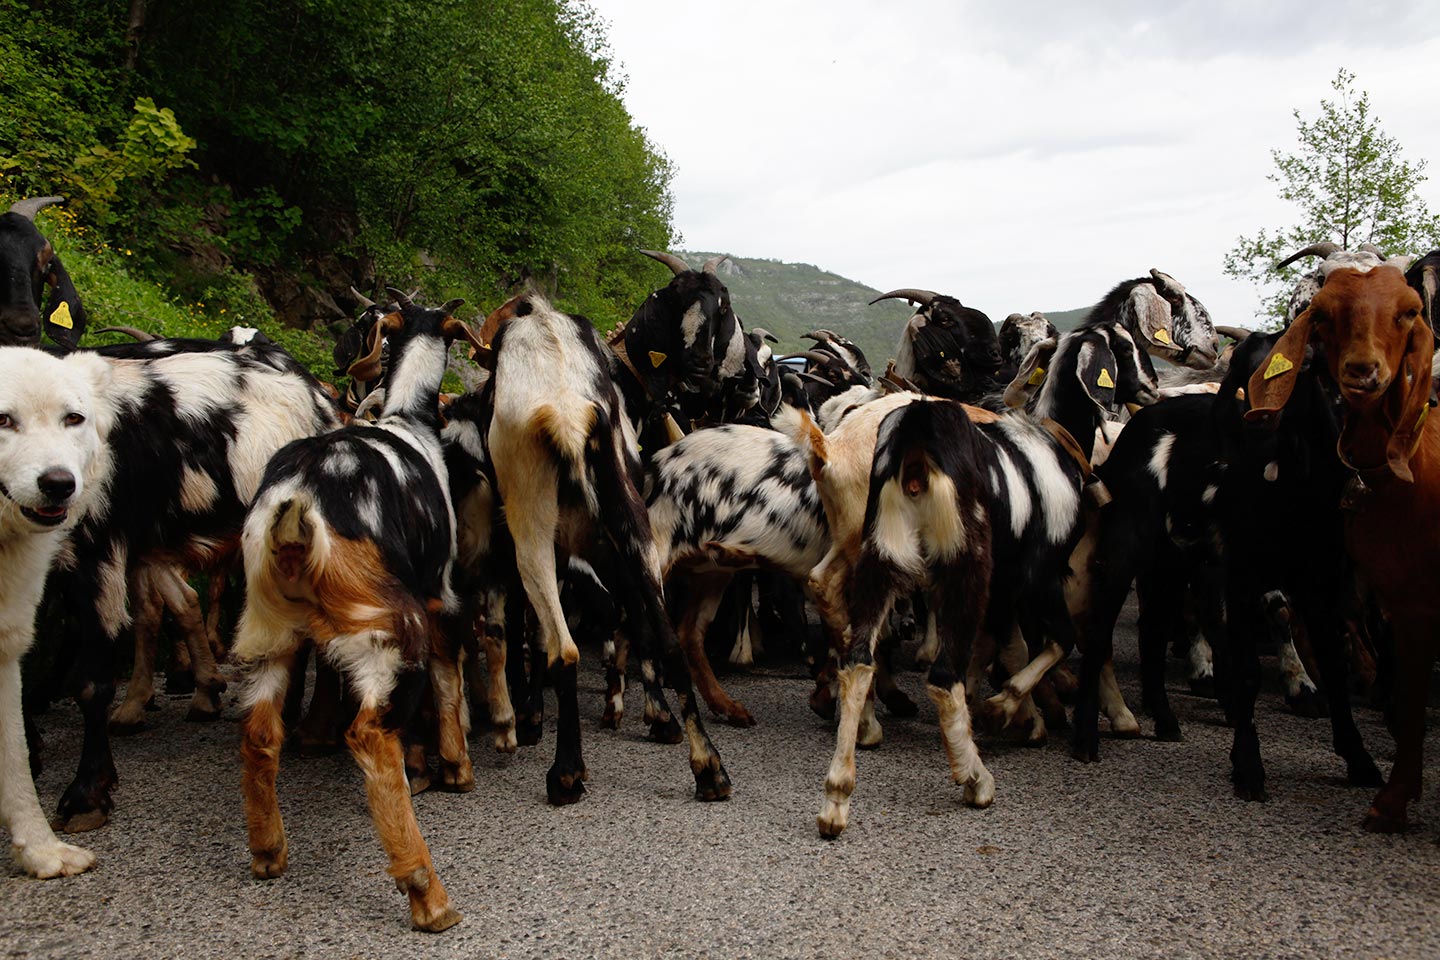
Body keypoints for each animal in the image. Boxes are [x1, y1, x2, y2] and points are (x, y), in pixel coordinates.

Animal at [231, 293, 478, 932]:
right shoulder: (441, 594)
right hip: (387, 631)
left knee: (259, 734)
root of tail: (298, 505)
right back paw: (427, 894)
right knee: (369, 736)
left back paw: (268, 852)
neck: (409, 422)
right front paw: (456, 768)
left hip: (267, 630)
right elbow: (448, 676)